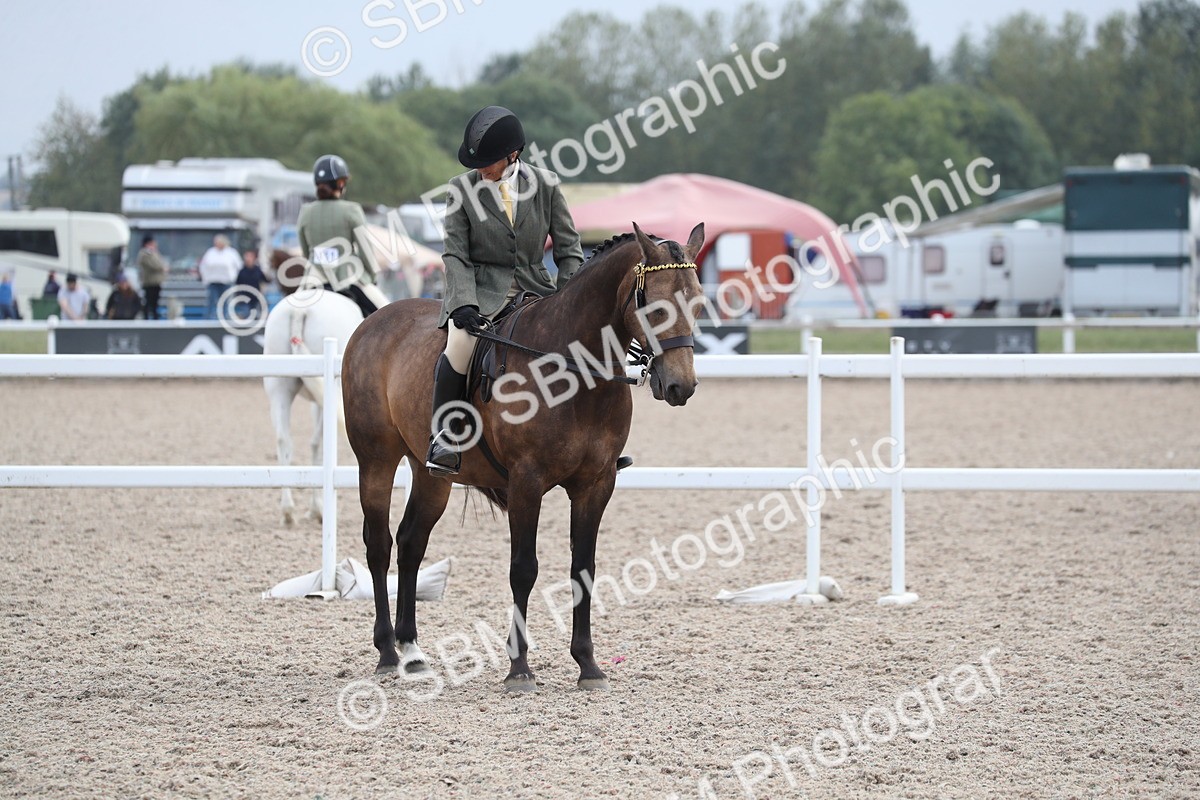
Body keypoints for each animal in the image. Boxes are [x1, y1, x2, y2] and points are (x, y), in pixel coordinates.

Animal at [342, 222, 705, 691]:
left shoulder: (596, 484)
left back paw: (412, 651)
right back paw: (387, 651)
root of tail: (374, 320)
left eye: (697, 301)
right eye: (654, 306)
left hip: (431, 475)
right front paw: (519, 668)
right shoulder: (526, 483)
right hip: (376, 461)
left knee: (410, 543)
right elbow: (523, 569)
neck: (574, 374)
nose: (681, 386)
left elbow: (583, 568)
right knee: (379, 545)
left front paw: (588, 665)